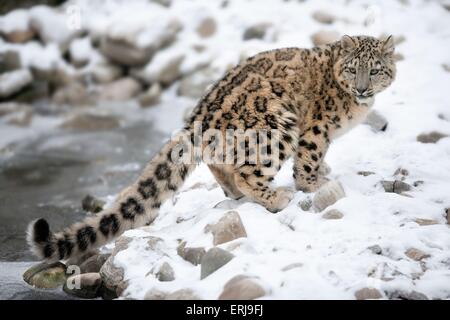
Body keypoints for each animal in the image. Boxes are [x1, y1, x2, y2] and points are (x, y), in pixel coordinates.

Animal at [26, 35, 396, 262]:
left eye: (376, 70)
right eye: (353, 68)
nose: (363, 89)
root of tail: (199, 115)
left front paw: (324, 172)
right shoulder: (315, 130)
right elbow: (309, 158)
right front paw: (314, 184)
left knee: (222, 165)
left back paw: (236, 192)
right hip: (276, 127)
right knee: (249, 172)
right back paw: (277, 197)